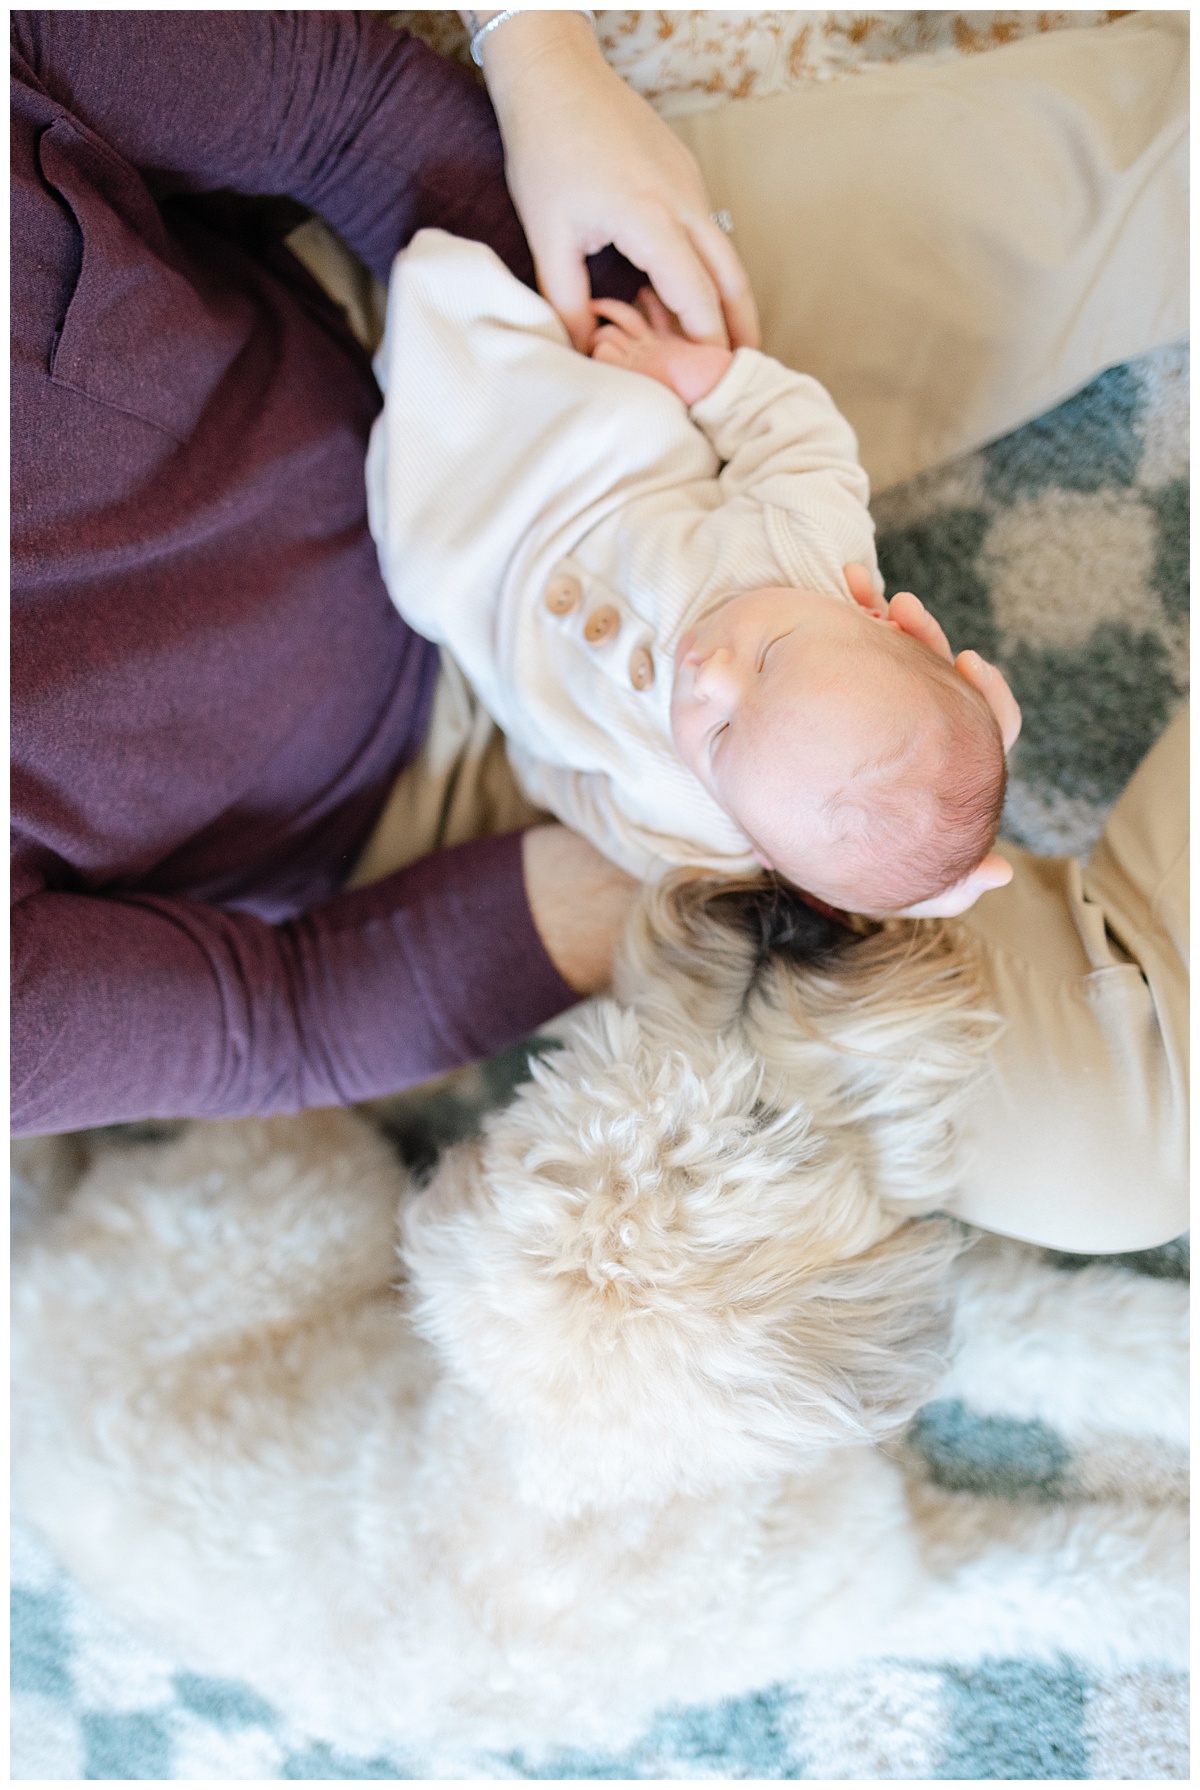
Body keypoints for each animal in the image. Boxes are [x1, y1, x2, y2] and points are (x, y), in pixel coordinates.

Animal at [11, 880, 1196, 1761]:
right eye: (762, 1120)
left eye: (629, 1050)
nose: (780, 922)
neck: (621, 1482)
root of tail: (40, 1260)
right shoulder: (910, 1579)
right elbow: (1097, 1571)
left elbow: (1074, 1332)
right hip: (306, 1197)